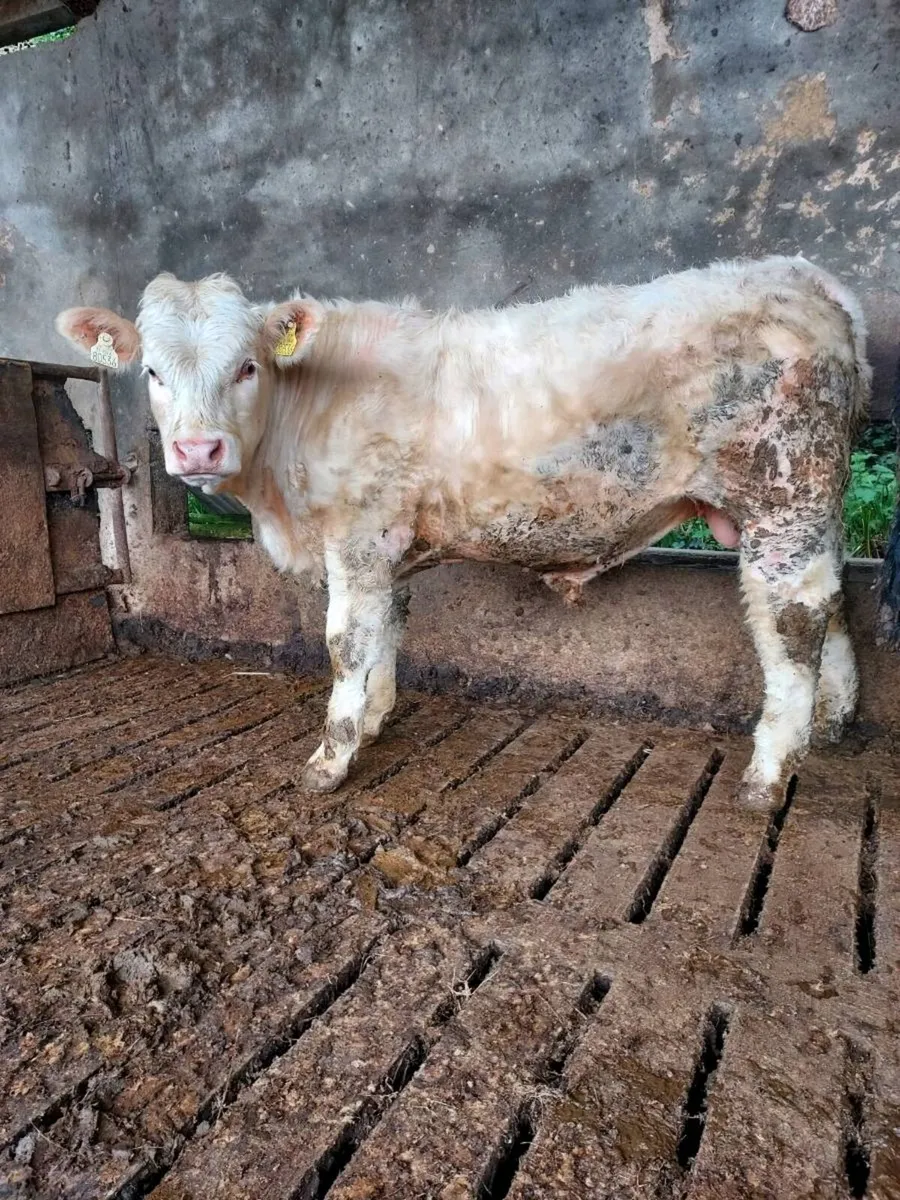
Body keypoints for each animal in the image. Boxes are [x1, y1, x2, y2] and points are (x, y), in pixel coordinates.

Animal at [56, 255, 882, 811]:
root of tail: (806, 278)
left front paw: (331, 758)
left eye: (247, 367)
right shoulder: (384, 547)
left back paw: (769, 772)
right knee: (834, 600)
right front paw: (375, 720)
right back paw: (831, 722)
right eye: (154, 373)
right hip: (806, 507)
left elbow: (346, 644)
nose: (198, 450)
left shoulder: (357, 536)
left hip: (783, 494)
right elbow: (386, 633)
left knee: (794, 620)